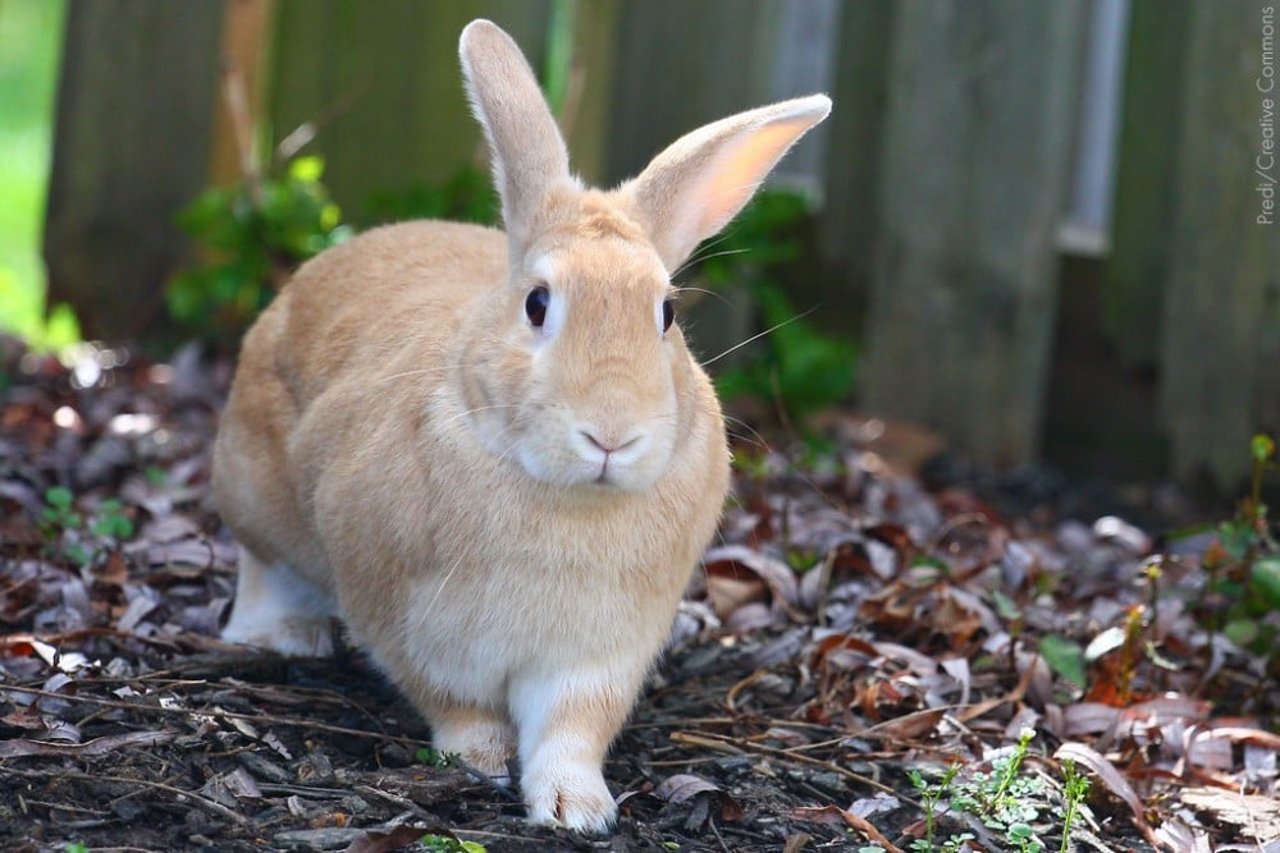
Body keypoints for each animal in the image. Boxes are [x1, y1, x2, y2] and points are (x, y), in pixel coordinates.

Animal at [209, 18, 829, 829]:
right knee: (262, 563)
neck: (565, 498)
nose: (610, 435)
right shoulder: (409, 622)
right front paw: (478, 759)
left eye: (665, 313)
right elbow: (454, 703)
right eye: (538, 303)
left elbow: (571, 728)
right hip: (253, 486)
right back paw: (278, 635)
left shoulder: (600, 654)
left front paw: (577, 806)